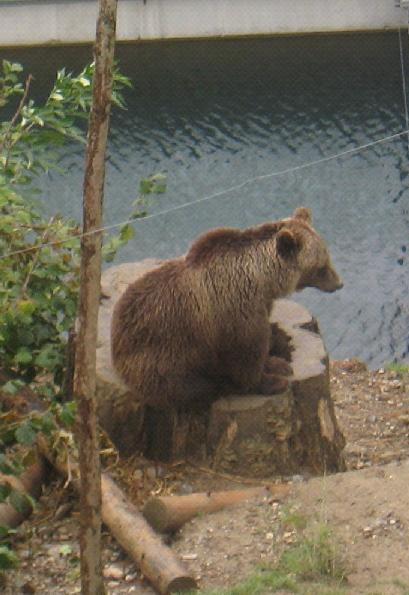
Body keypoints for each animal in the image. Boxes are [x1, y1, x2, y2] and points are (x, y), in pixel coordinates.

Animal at [111, 210, 342, 410]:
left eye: (327, 255)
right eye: (321, 266)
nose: (339, 283)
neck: (263, 282)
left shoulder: (261, 306)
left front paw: (277, 363)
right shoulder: (235, 313)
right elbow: (246, 355)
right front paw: (272, 381)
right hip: (163, 354)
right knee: (189, 386)